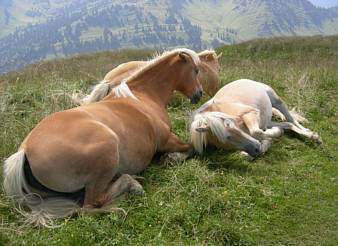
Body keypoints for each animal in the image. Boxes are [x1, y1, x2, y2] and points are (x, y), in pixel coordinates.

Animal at [3, 47, 203, 227]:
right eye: (195, 70)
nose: (199, 94)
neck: (143, 96)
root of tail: (24, 152)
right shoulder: (166, 138)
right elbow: (191, 147)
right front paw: (172, 158)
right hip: (107, 153)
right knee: (89, 206)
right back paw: (128, 192)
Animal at [190, 79, 322, 158]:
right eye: (223, 142)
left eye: (229, 126)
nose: (256, 149)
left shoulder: (250, 113)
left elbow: (256, 132)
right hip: (267, 120)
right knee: (288, 124)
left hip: (276, 100)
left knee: (291, 119)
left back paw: (313, 136)